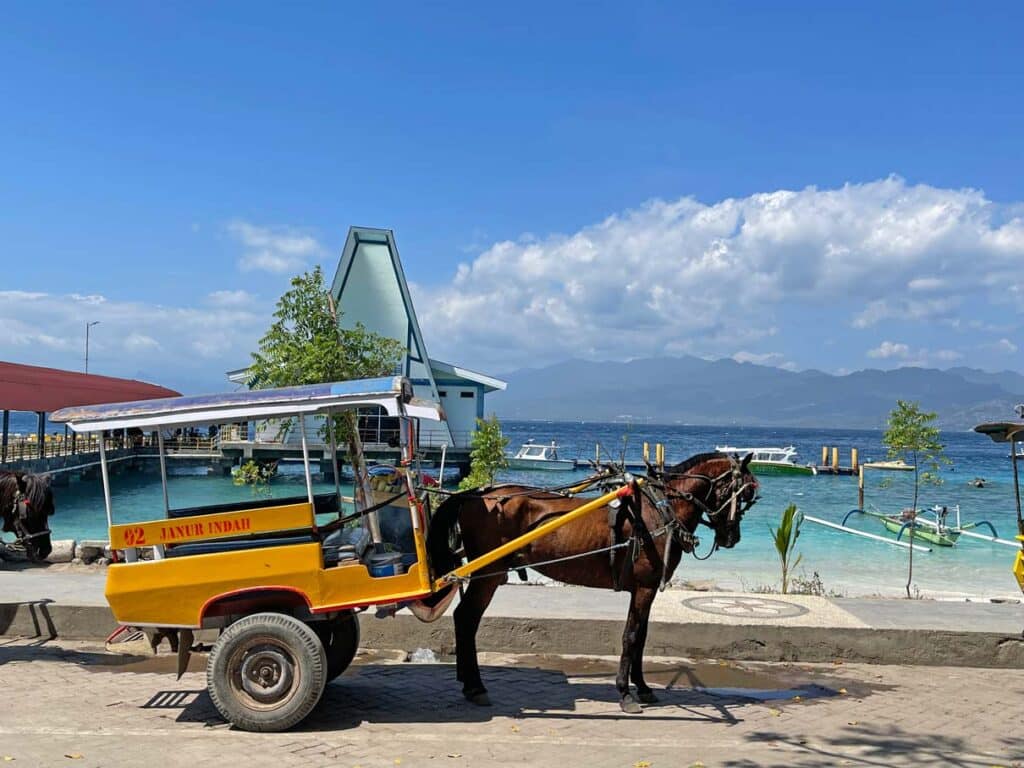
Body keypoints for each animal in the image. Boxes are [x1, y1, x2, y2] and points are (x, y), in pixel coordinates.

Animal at [425, 450, 761, 716]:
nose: (732, 538)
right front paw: (625, 693)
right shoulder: (645, 588)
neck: (658, 509)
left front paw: (643, 687)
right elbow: (631, 637)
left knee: (464, 619)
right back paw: (476, 686)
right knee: (467, 619)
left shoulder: (645, 589)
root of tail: (476, 494)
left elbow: (641, 638)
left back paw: (468, 683)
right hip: (491, 574)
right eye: (742, 495)